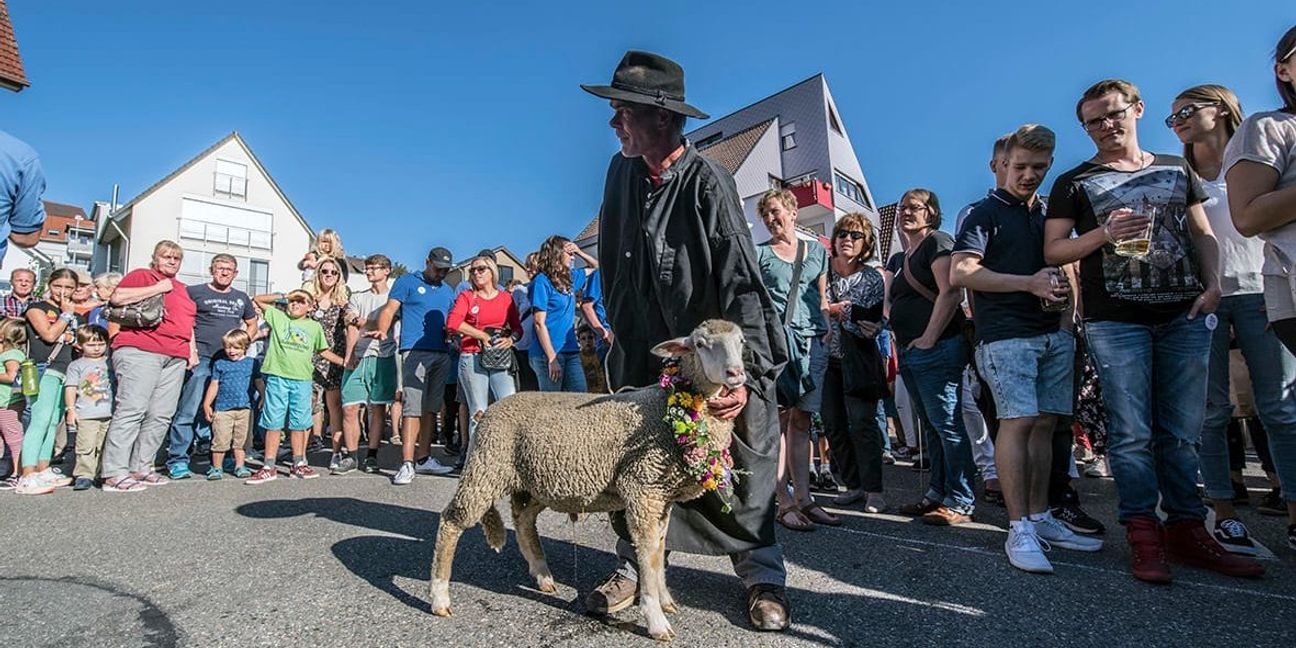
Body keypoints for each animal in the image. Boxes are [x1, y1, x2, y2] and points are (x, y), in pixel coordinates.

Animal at [427, 316, 751, 640]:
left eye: (741, 342)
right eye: (700, 344)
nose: (736, 373)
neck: (667, 407)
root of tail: (489, 410)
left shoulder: (661, 496)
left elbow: (659, 550)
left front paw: (665, 599)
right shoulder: (642, 488)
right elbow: (647, 554)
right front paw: (656, 619)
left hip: (537, 481)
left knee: (523, 520)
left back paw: (542, 575)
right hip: (486, 467)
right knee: (451, 522)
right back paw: (440, 597)